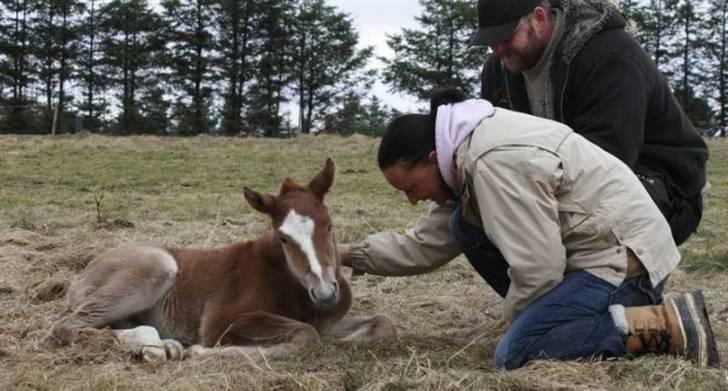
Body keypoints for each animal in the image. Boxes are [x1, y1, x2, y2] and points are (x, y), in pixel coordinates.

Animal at [42, 158, 396, 362]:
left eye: (329, 225)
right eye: (283, 237)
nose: (324, 291)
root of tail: (83, 274)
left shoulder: (329, 320)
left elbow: (383, 325)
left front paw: (348, 342)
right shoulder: (222, 320)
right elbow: (306, 335)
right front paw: (200, 351)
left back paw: (161, 346)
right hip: (155, 267)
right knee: (65, 326)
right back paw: (159, 348)